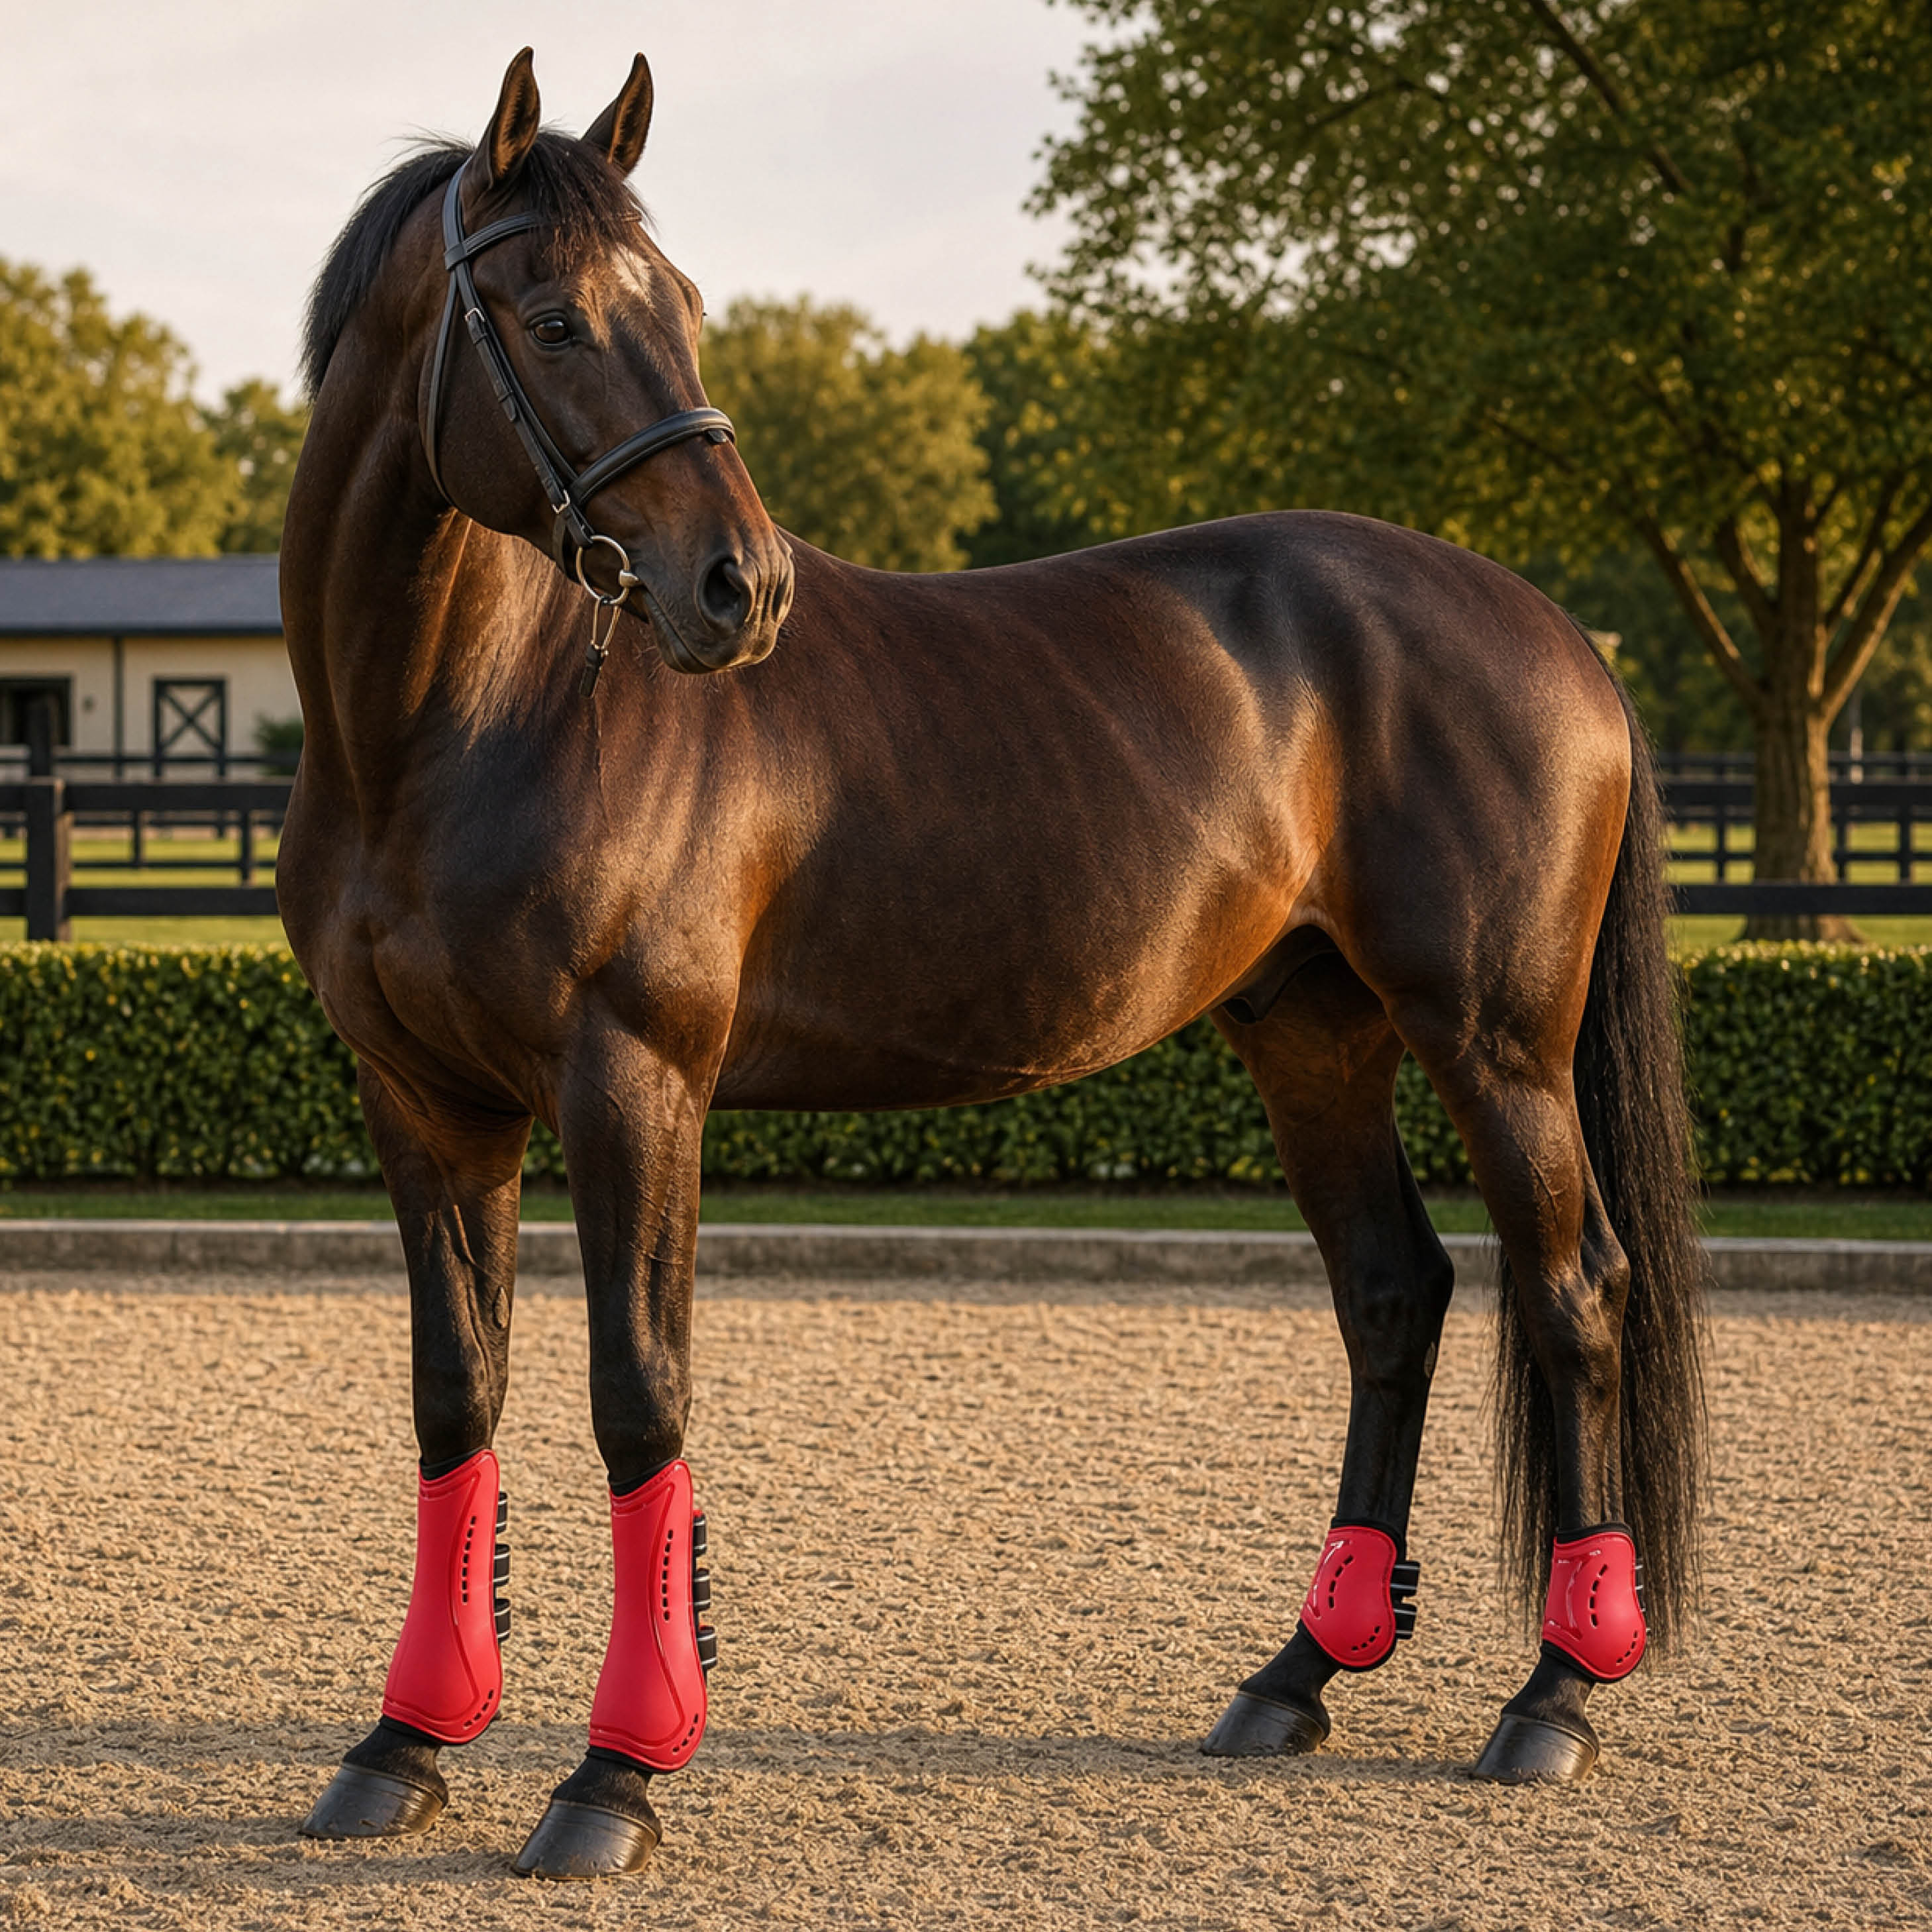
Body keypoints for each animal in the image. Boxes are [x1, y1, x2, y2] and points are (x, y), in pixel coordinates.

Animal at [278, 48, 1706, 1881]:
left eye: (679, 305)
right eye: (548, 317)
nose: (741, 588)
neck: (462, 725)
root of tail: (1555, 635)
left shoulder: (632, 1081)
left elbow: (638, 1396)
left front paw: (614, 1778)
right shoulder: (425, 1100)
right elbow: (457, 1398)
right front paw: (403, 1742)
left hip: (1496, 1039)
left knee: (1572, 1288)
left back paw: (1554, 1693)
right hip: (1313, 1036)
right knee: (1393, 1294)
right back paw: (1294, 1674)